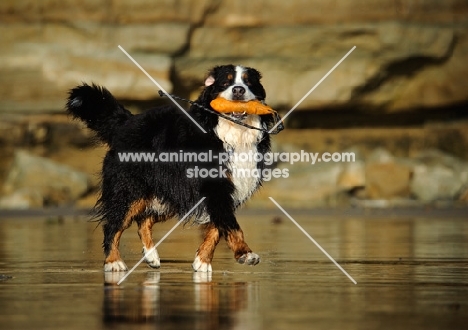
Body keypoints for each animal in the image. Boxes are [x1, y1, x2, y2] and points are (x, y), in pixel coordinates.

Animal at [66, 64, 278, 274]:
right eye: (225, 83)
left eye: (248, 82)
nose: (238, 90)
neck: (233, 133)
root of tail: (126, 122)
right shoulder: (215, 186)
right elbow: (230, 224)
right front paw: (245, 254)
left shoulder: (233, 190)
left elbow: (218, 227)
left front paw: (202, 261)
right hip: (130, 189)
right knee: (114, 224)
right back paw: (114, 262)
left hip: (170, 193)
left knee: (144, 220)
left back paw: (151, 256)